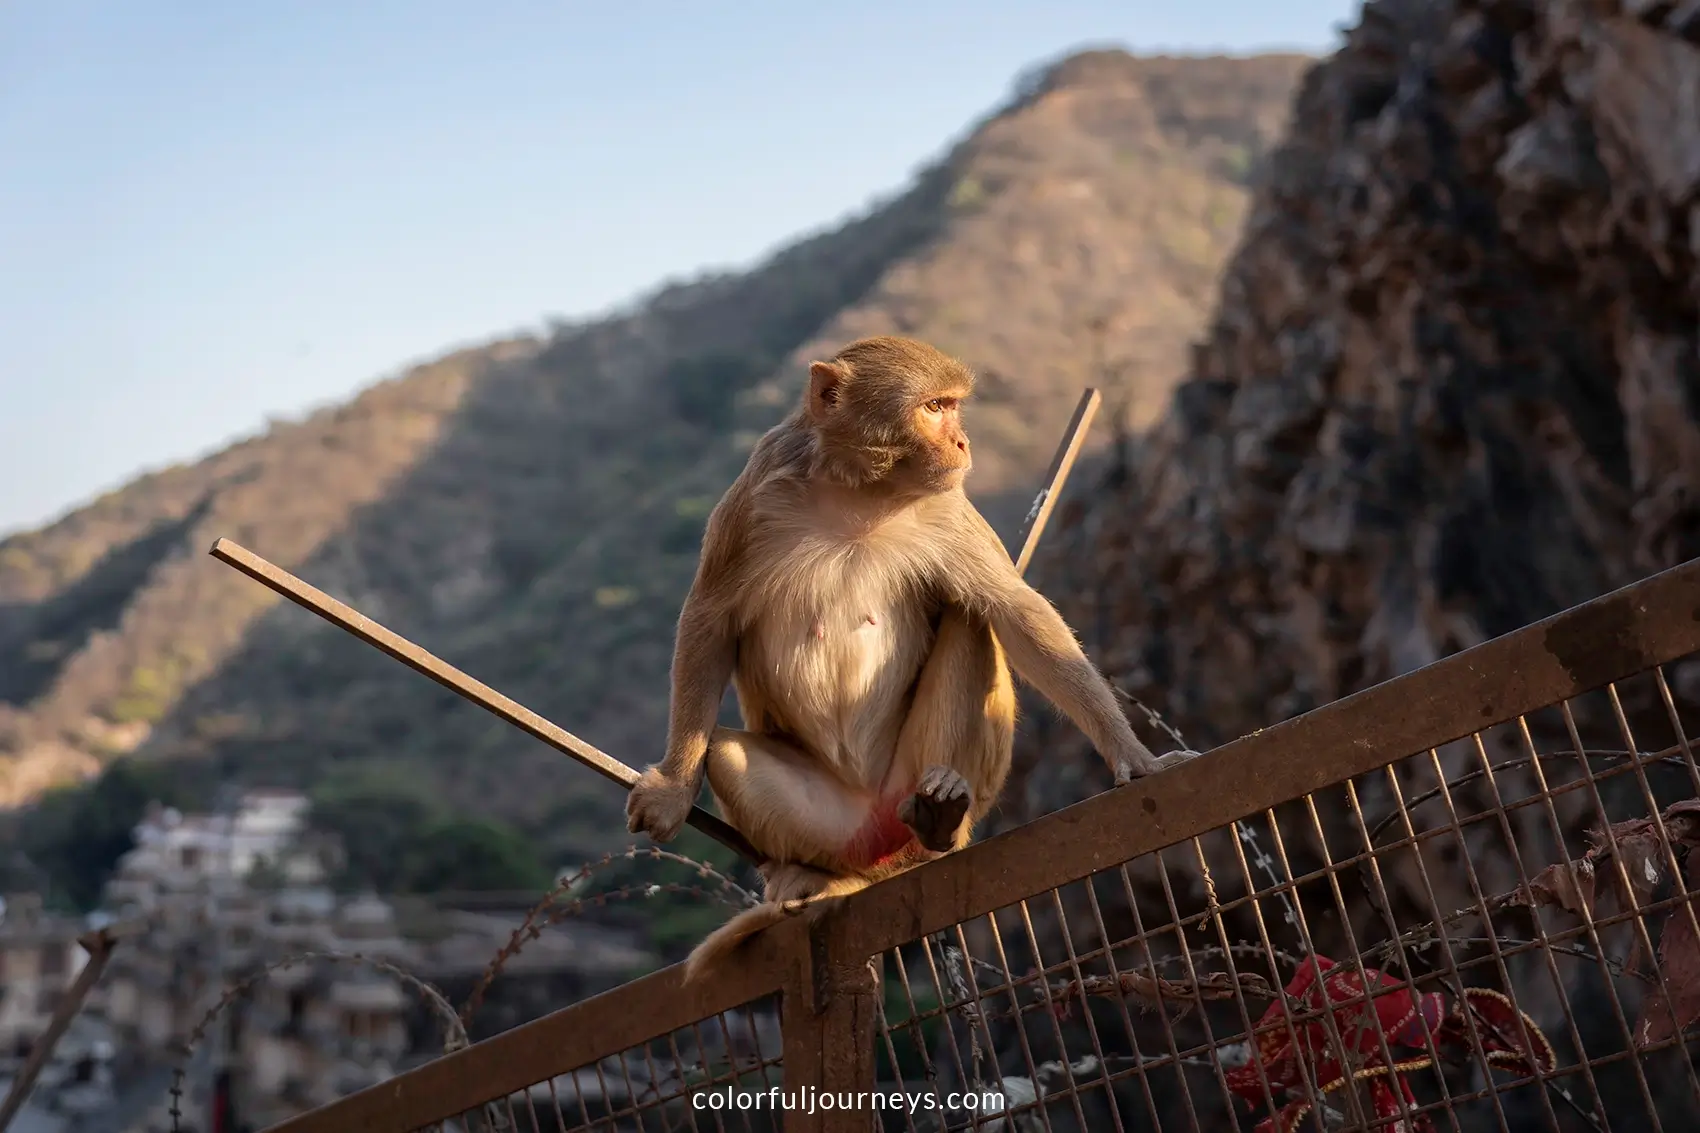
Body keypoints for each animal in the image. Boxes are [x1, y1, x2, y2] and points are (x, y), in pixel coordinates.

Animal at [623, 336, 1200, 981]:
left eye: (951, 405)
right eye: (933, 407)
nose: (963, 443)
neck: (861, 493)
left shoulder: (948, 505)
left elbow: (1014, 613)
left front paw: (1135, 758)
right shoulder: (756, 494)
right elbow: (710, 619)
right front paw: (674, 788)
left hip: (912, 773)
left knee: (969, 619)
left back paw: (938, 819)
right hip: (835, 824)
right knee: (727, 752)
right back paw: (818, 877)